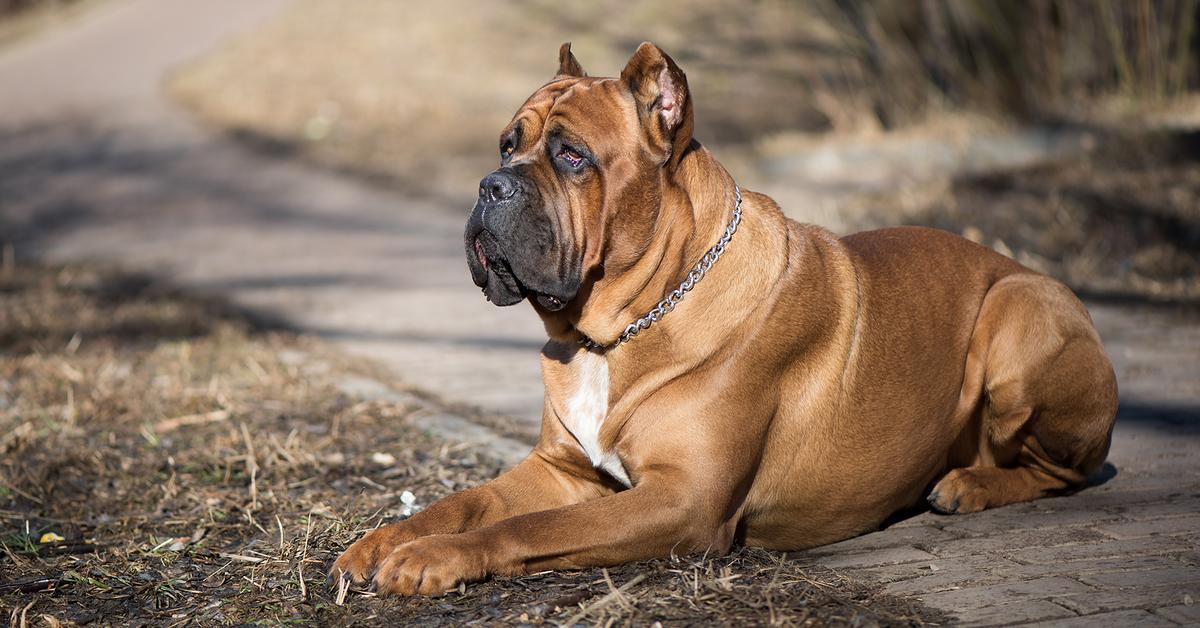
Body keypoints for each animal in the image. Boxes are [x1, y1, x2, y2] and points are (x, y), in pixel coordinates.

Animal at [328, 42, 1113, 595]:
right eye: (505, 145)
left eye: (572, 156)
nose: (490, 186)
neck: (616, 332)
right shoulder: (560, 468)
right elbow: (466, 501)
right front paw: (387, 538)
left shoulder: (682, 500)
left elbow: (531, 527)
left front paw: (432, 557)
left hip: (1016, 314)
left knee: (1067, 471)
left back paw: (969, 485)